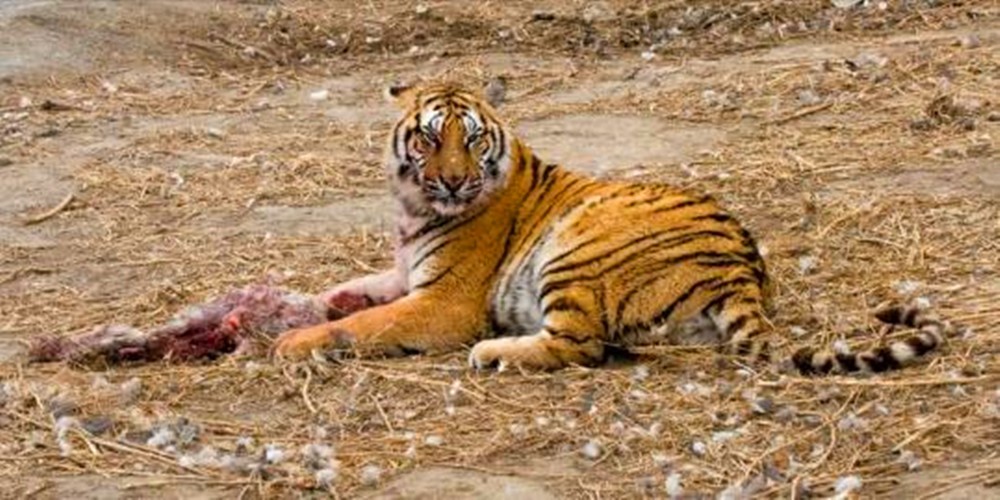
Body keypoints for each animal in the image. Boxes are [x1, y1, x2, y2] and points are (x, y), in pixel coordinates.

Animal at [270, 80, 956, 376]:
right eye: (430, 138)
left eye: (471, 140)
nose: (456, 182)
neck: (416, 208)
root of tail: (742, 270)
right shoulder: (407, 270)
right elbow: (360, 289)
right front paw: (317, 302)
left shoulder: (446, 301)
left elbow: (369, 324)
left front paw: (292, 341)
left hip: (575, 249)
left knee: (580, 345)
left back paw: (493, 353)